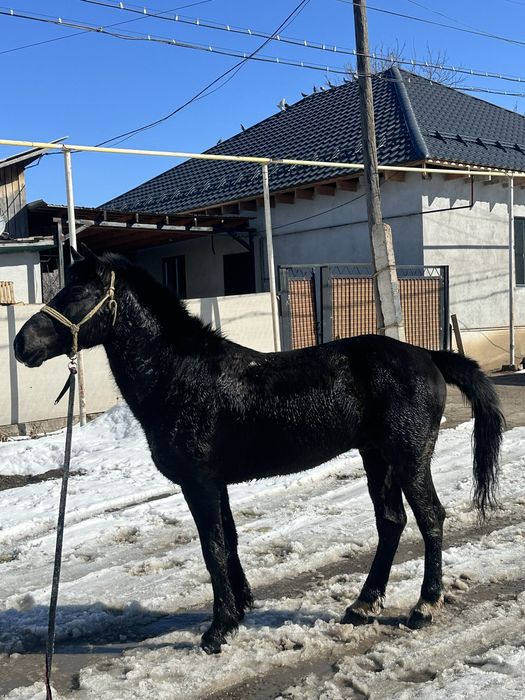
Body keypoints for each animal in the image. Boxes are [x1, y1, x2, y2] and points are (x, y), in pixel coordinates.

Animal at [14, 245, 504, 654]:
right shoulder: (216, 483)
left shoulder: (199, 483)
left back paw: (424, 606)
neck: (182, 374)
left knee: (430, 519)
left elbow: (212, 548)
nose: (22, 344)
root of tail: (428, 356)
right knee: (392, 522)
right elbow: (228, 542)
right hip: (376, 457)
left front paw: (218, 630)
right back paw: (362, 605)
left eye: (78, 291)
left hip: (408, 458)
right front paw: (241, 608)